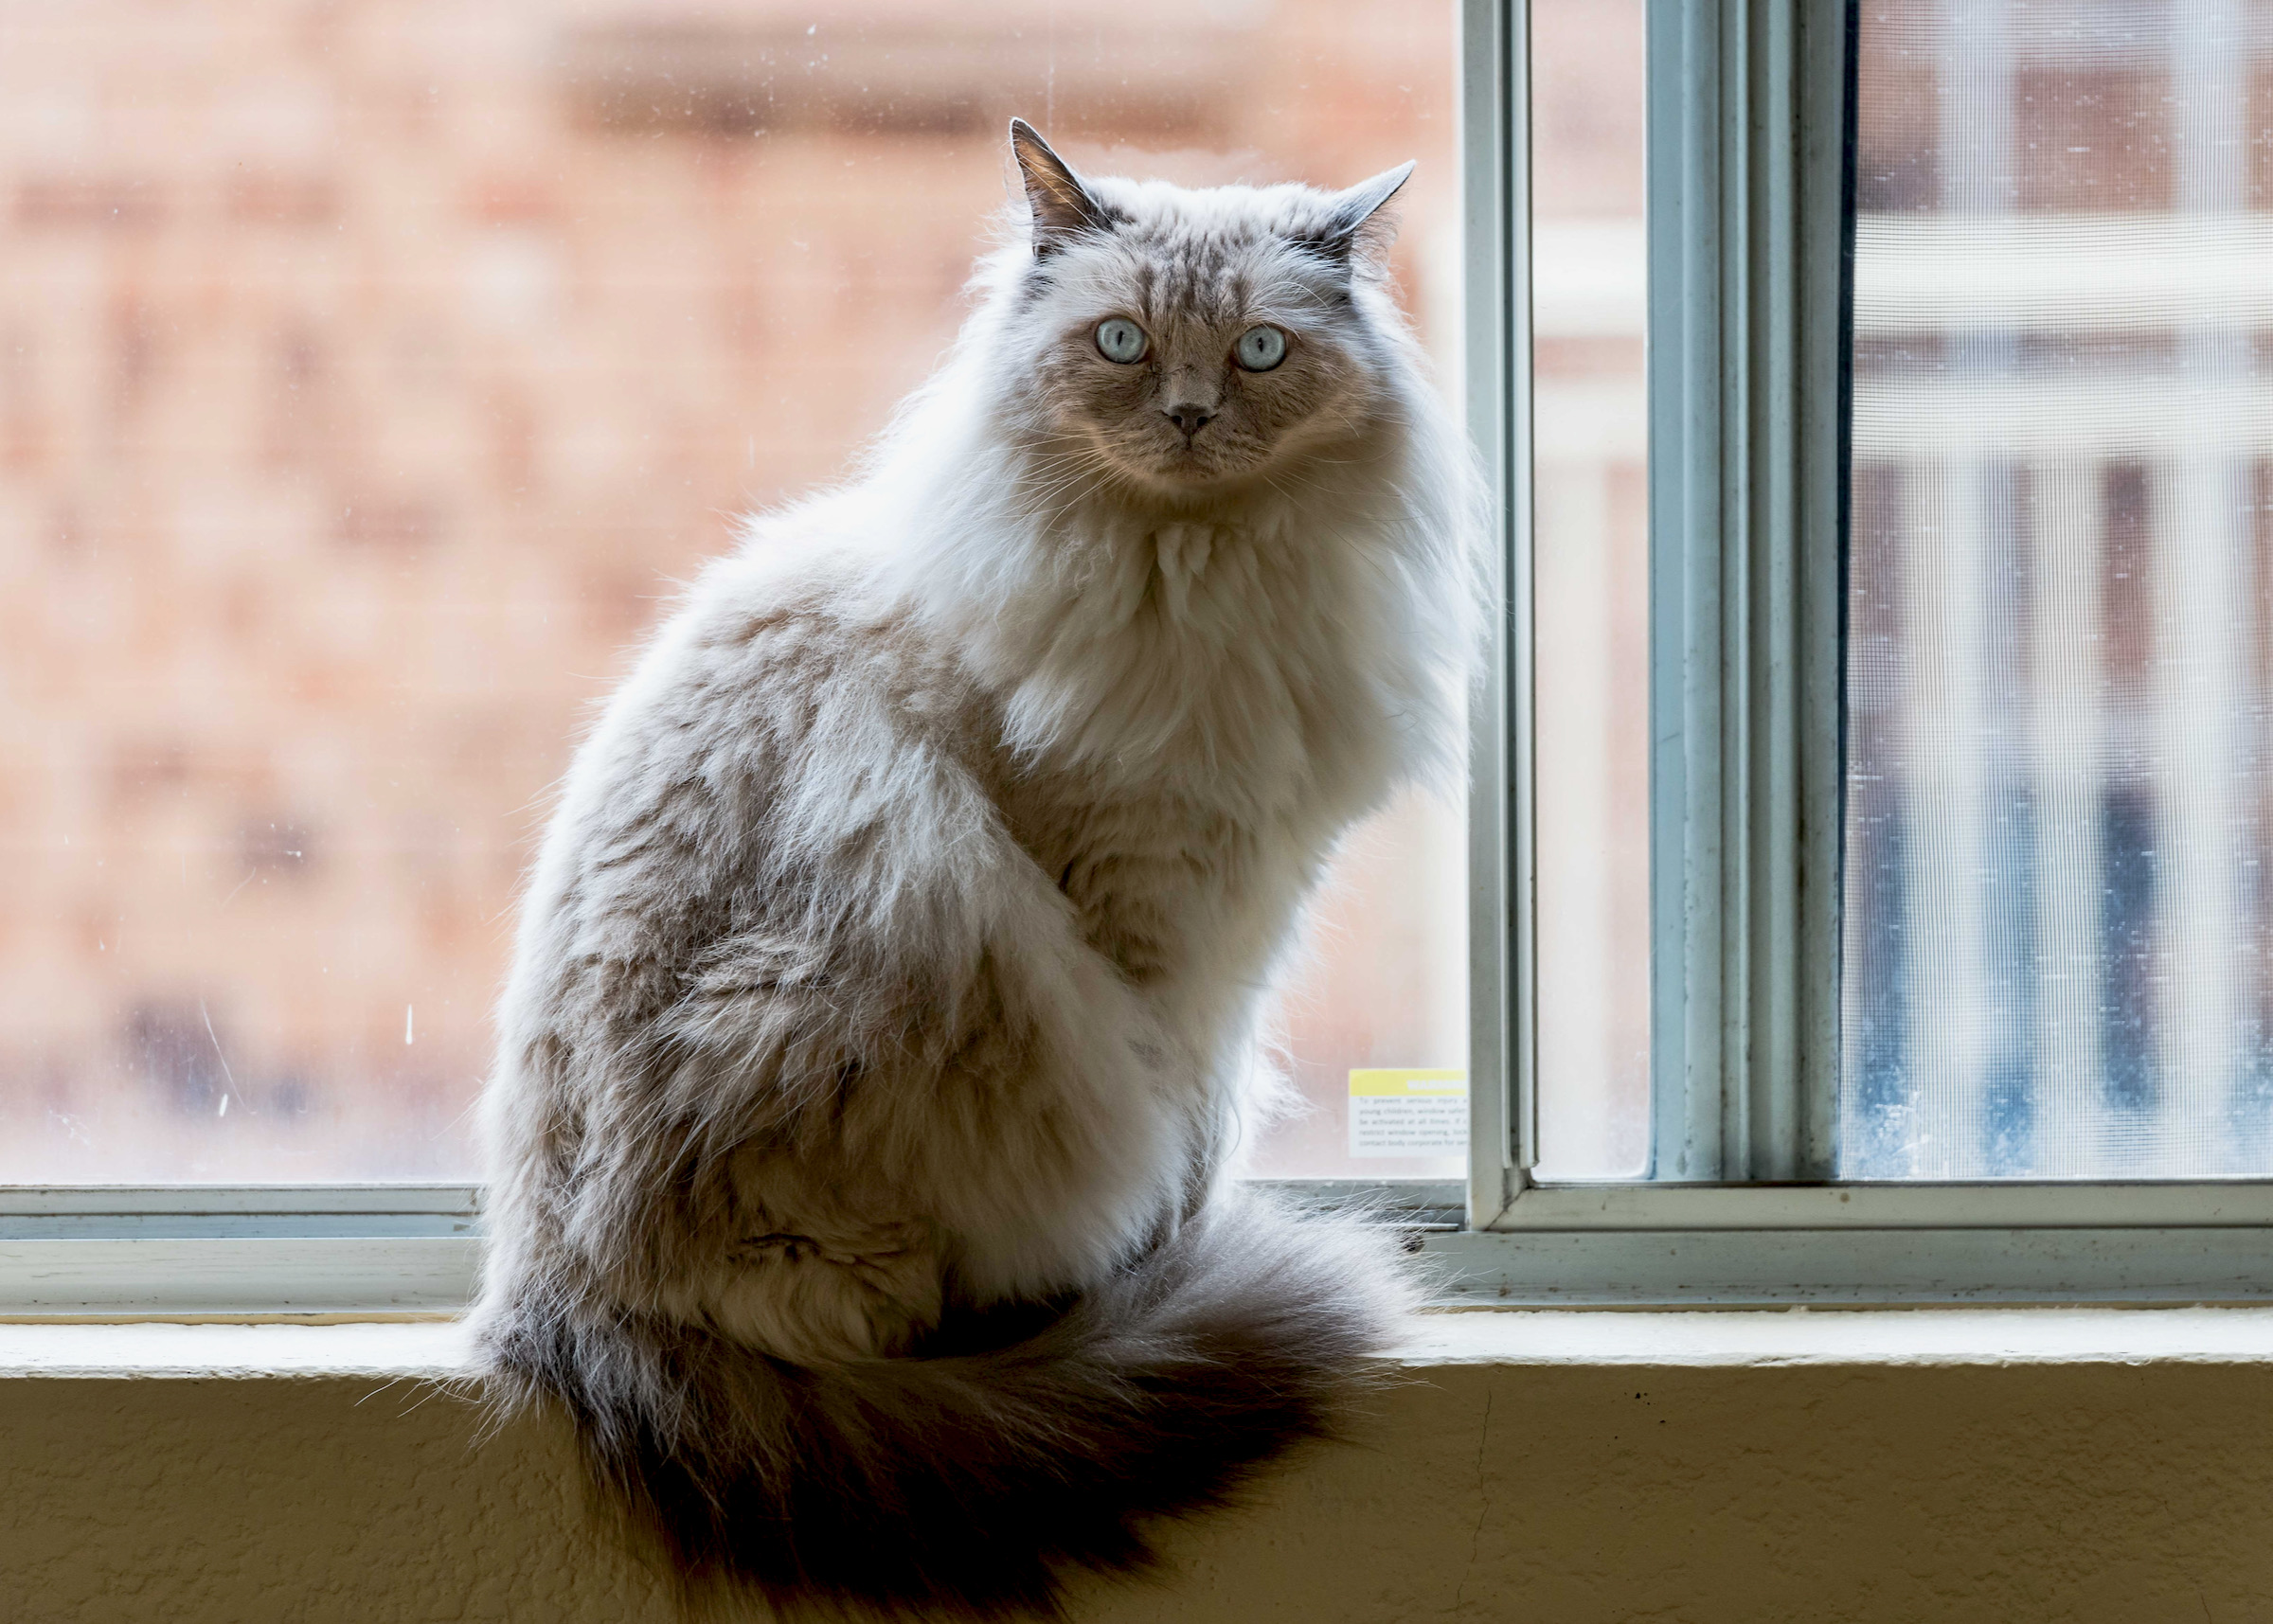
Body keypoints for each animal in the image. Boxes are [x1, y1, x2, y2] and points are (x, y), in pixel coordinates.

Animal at [470, 123, 1481, 1624]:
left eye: (1259, 353)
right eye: (1121, 342)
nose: (1188, 415)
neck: (1204, 583)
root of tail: (545, 1296)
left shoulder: (1242, 915)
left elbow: (1212, 1119)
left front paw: (1176, 1261)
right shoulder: (1155, 929)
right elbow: (1188, 1125)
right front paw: (1170, 1264)